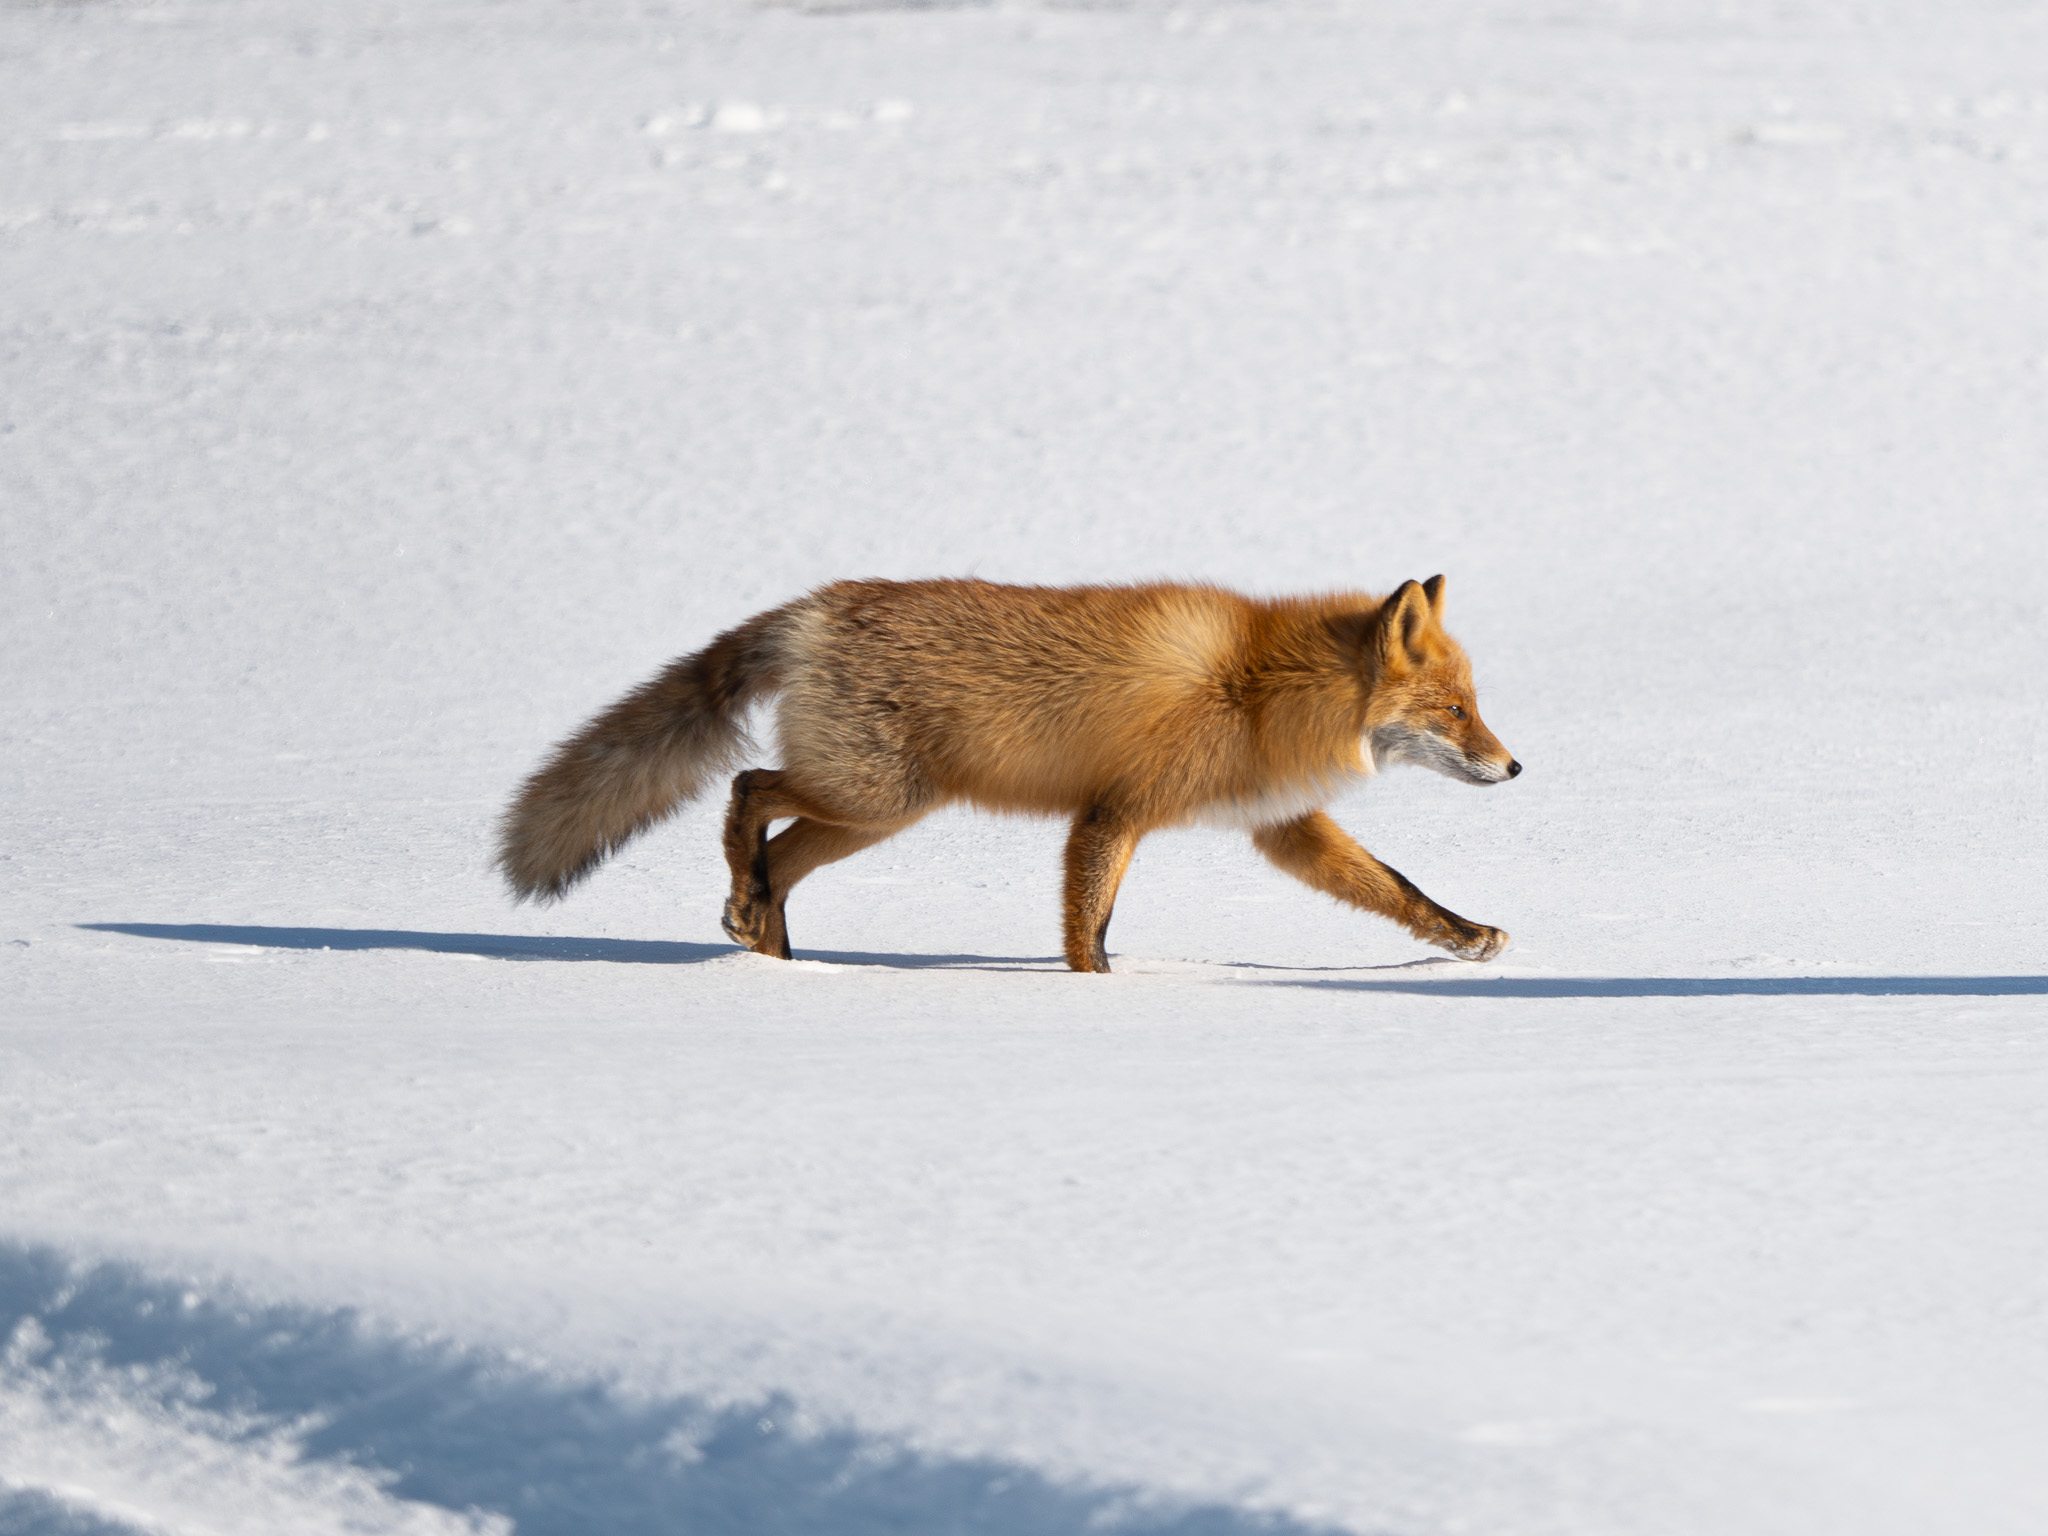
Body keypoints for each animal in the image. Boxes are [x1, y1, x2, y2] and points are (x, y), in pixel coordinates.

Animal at [497, 576, 1520, 973]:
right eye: (1454, 712)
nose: (1514, 766)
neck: (1260, 688)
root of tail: (813, 607)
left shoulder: (1281, 827)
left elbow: (1395, 887)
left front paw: (1467, 938)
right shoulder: (1111, 814)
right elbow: (1088, 929)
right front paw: (1087, 997)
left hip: (868, 816)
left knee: (774, 862)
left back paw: (771, 953)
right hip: (876, 795)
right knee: (746, 786)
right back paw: (757, 928)